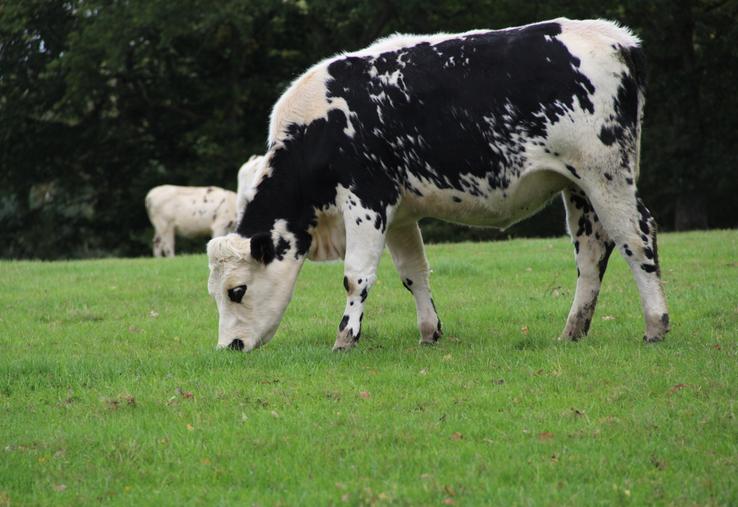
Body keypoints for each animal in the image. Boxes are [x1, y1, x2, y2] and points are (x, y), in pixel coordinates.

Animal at [206, 18, 668, 354]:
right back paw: (573, 330)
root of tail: (617, 38)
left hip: (606, 173)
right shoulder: (399, 213)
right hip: (578, 187)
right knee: (592, 251)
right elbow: (414, 273)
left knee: (636, 235)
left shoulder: (365, 199)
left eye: (236, 290)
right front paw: (429, 332)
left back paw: (655, 324)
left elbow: (356, 276)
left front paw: (345, 338)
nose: (229, 347)